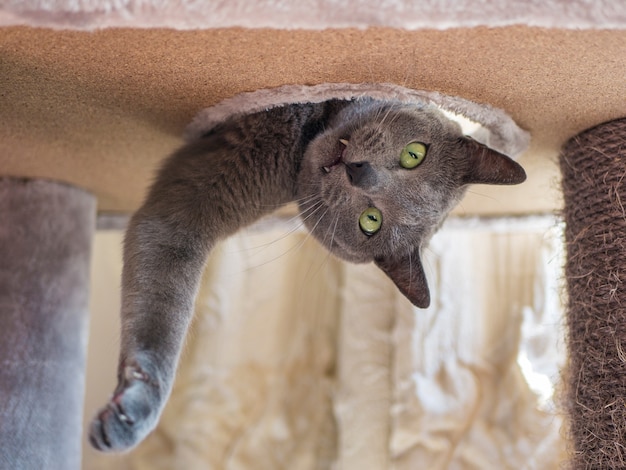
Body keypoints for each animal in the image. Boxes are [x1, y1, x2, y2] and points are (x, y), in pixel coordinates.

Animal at [90, 98, 524, 452]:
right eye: (415, 154)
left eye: (370, 222)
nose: (359, 172)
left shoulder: (194, 206)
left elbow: (163, 283)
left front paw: (131, 411)